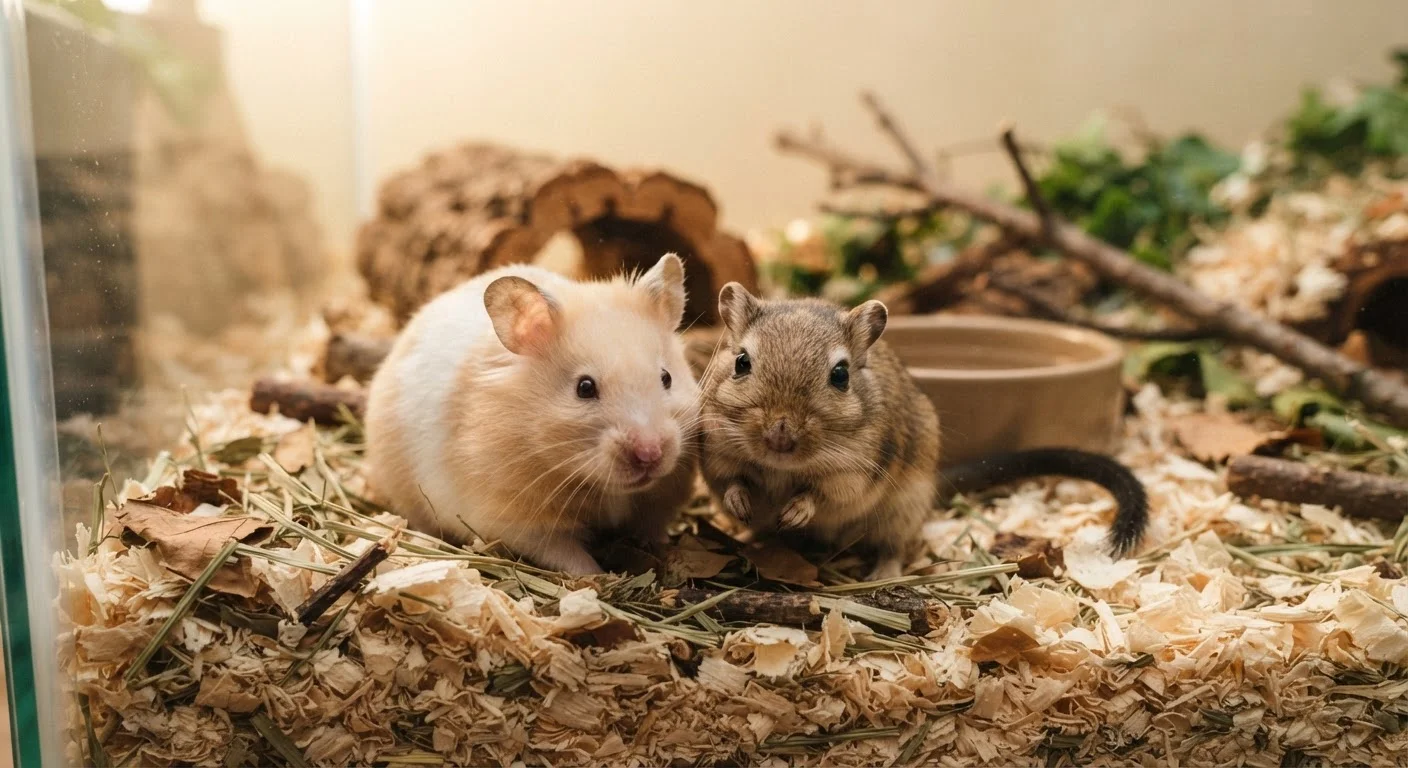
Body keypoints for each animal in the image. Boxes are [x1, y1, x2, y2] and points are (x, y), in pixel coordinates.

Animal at [364, 253, 699, 575]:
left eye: (666, 377)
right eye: (585, 388)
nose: (650, 454)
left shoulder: (658, 503)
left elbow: (651, 527)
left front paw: (657, 550)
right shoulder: (515, 519)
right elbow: (564, 552)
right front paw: (599, 577)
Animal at [697, 283, 1148, 580]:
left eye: (840, 375)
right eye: (741, 362)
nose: (779, 438)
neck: (782, 468)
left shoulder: (852, 475)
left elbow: (820, 493)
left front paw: (794, 512)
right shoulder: (717, 454)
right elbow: (733, 479)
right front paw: (741, 506)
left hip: (902, 509)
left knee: (892, 547)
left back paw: (881, 575)